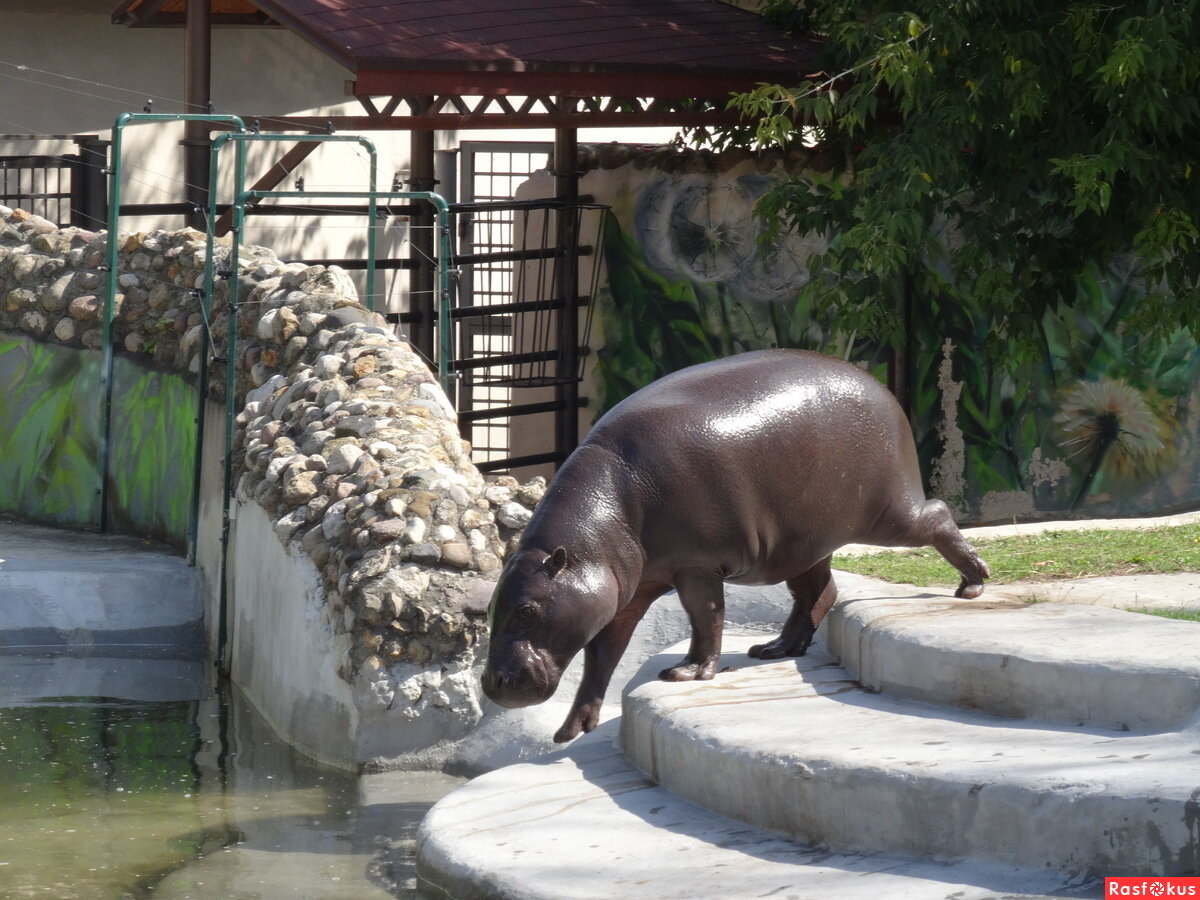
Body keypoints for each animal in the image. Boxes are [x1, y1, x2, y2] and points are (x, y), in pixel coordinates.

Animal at [482, 348, 988, 744]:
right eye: (490, 609)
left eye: (526, 611)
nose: (491, 682)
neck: (600, 527)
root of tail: (881, 388)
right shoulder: (623, 591)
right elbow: (602, 654)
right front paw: (571, 729)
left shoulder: (696, 566)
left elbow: (705, 616)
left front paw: (686, 673)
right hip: (801, 544)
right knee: (818, 592)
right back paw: (773, 649)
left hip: (886, 514)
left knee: (936, 515)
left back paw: (974, 583)